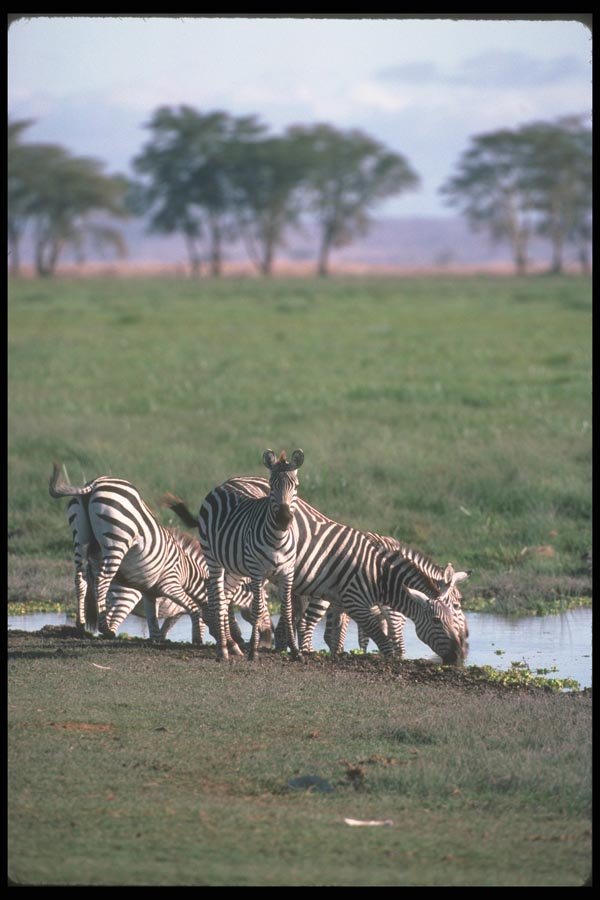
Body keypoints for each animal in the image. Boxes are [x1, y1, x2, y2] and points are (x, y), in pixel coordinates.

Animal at [173, 476, 469, 663]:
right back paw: (228, 645)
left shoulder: (340, 598)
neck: (378, 572)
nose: (460, 654)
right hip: (234, 563)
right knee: (218, 596)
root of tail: (229, 482)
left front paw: (333, 655)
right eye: (440, 618)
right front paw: (395, 660)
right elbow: (385, 634)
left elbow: (335, 632)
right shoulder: (354, 598)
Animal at [198, 449, 305, 661]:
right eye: (272, 486)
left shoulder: (288, 572)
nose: (283, 519)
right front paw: (254, 650)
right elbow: (257, 608)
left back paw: (231, 645)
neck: (278, 539)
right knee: (218, 598)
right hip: (213, 558)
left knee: (226, 597)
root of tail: (228, 482)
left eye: (295, 486)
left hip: (235, 567)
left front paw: (295, 651)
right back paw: (223, 648)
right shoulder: (257, 572)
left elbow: (287, 609)